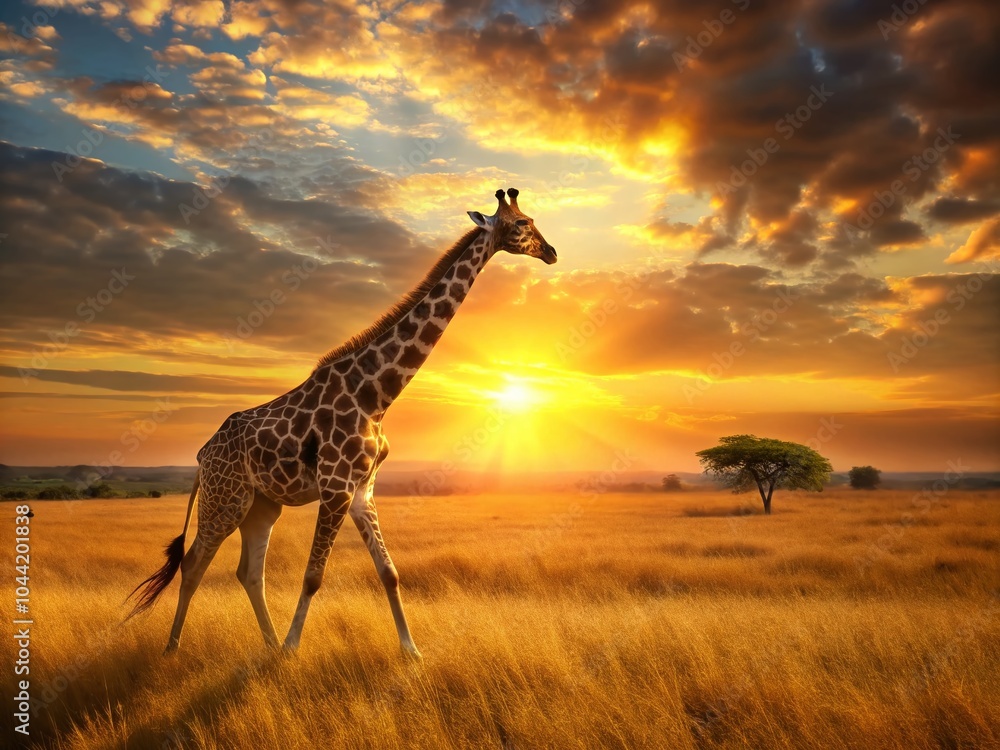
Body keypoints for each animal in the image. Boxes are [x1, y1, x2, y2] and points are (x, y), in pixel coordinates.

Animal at [126, 188, 557, 657]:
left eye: (532, 220)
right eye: (521, 224)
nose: (551, 252)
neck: (377, 395)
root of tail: (202, 455)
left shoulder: (362, 489)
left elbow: (389, 572)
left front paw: (411, 652)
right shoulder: (335, 487)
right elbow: (314, 576)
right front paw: (294, 649)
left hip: (262, 506)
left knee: (248, 572)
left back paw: (268, 646)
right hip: (226, 500)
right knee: (192, 564)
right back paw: (174, 650)